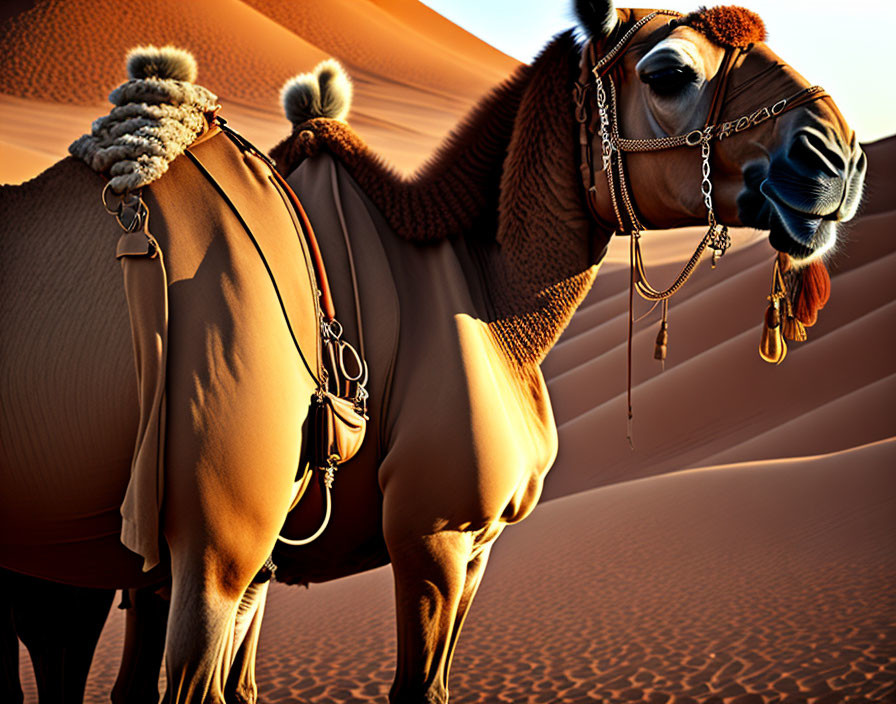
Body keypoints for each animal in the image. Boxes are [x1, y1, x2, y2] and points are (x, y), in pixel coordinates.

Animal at [3, 1, 864, 704]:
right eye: (669, 71)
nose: (836, 159)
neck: (487, 290)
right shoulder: (432, 535)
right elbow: (414, 688)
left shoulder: (448, 551)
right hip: (201, 546)